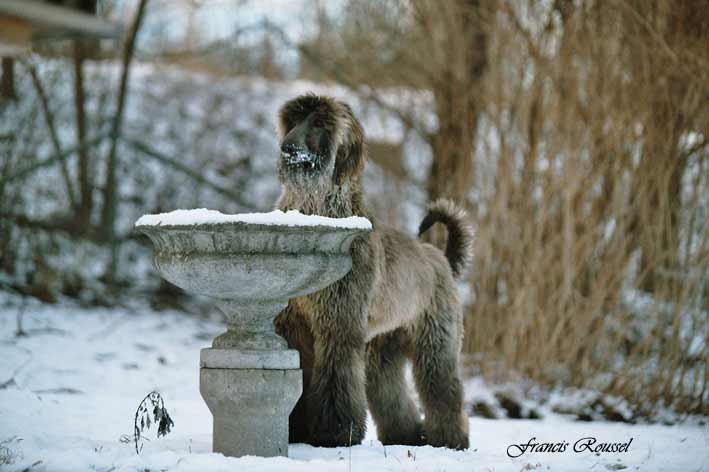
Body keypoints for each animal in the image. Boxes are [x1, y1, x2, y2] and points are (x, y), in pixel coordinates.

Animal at [274, 93, 472, 450]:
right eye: (293, 120)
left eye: (320, 123)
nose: (288, 148)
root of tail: (443, 261)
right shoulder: (294, 325)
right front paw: (294, 431)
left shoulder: (339, 324)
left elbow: (336, 381)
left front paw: (335, 433)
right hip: (383, 347)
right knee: (392, 393)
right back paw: (407, 436)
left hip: (435, 344)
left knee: (442, 390)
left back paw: (451, 440)